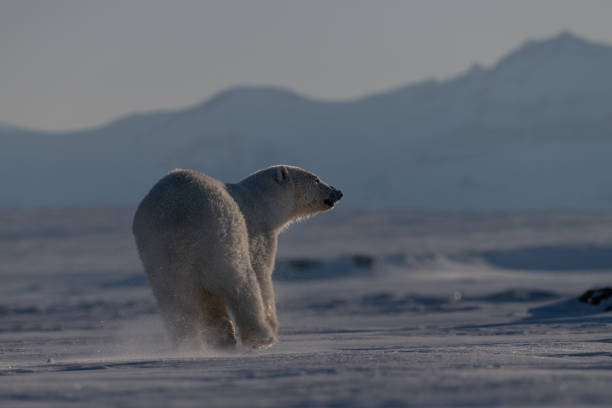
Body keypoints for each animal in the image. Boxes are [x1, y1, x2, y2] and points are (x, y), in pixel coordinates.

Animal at [131, 166, 342, 350]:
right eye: (316, 179)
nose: (338, 191)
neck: (261, 201)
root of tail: (176, 213)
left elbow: (208, 301)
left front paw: (222, 337)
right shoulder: (258, 232)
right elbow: (262, 274)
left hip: (158, 252)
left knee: (175, 299)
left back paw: (189, 343)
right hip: (220, 235)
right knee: (239, 282)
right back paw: (261, 336)